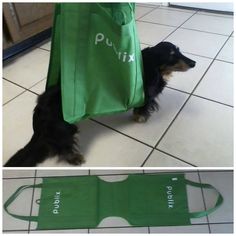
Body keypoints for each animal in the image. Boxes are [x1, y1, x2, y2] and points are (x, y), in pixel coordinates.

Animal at [4, 41, 195, 167]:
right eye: (172, 55)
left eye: (178, 51)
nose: (194, 63)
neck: (152, 65)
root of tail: (39, 108)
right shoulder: (147, 95)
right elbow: (143, 108)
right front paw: (140, 118)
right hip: (64, 129)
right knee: (63, 147)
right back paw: (75, 158)